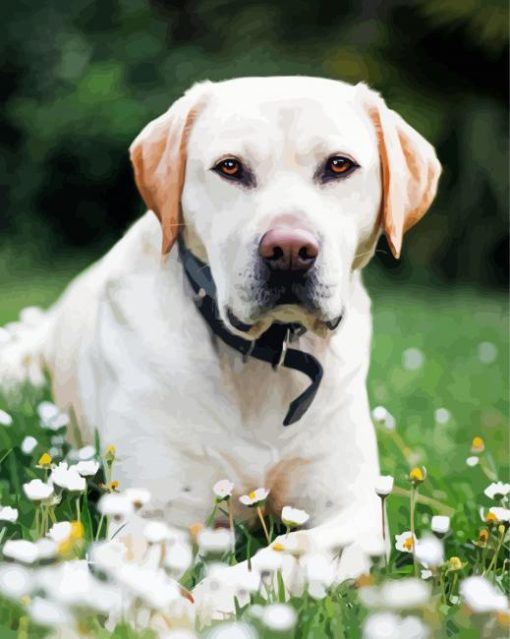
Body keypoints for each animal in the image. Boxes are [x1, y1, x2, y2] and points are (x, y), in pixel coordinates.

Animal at [0, 77, 438, 592]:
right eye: (230, 167)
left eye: (339, 165)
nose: (290, 250)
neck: (266, 358)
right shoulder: (154, 513)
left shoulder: (357, 510)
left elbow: (286, 552)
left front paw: (218, 597)